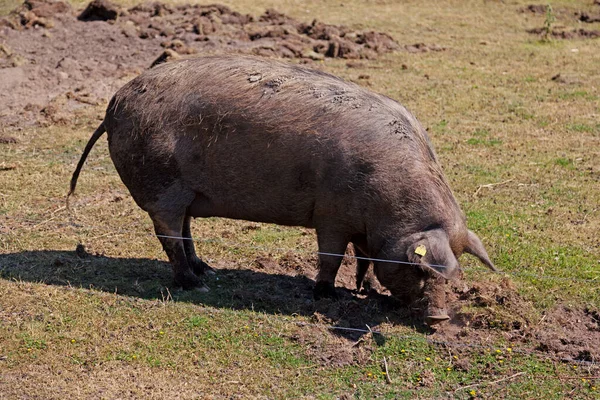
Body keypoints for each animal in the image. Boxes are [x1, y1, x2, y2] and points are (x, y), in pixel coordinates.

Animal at [68, 54, 494, 324]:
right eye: (420, 269)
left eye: (454, 275)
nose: (438, 318)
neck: (389, 207)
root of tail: (115, 104)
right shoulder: (331, 215)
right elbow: (332, 257)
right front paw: (327, 295)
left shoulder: (364, 228)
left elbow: (363, 259)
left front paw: (367, 289)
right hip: (162, 186)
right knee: (168, 232)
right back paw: (193, 284)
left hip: (186, 191)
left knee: (185, 230)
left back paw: (206, 269)